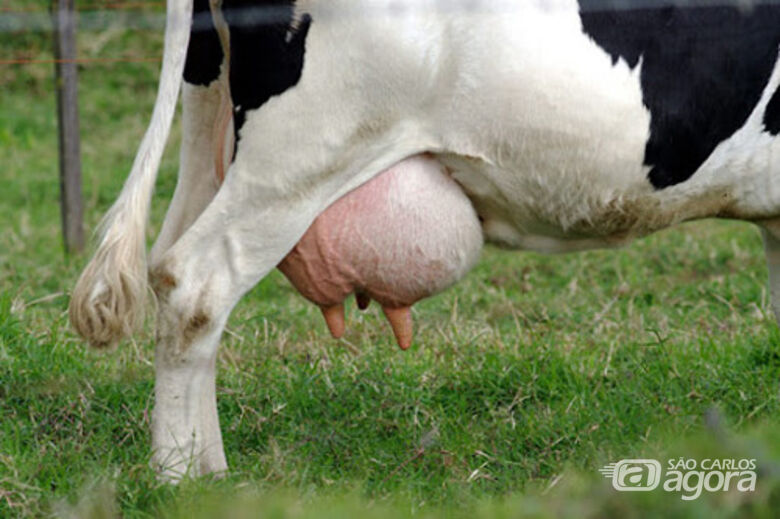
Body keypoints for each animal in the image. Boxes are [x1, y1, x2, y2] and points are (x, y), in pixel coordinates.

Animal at [69, 0, 780, 479]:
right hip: (297, 155)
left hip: (212, 129)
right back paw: (181, 477)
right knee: (195, 283)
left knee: (164, 265)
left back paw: (207, 465)